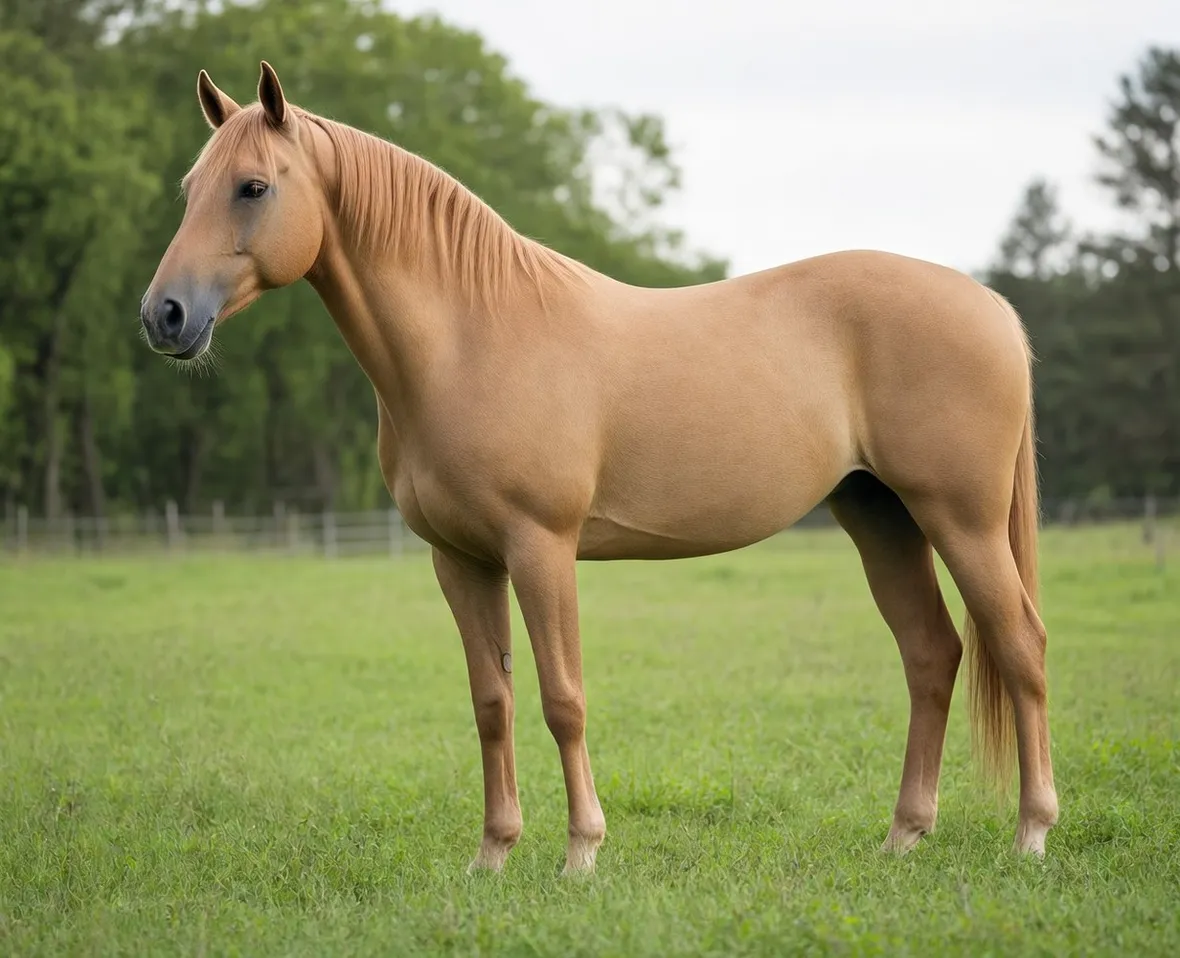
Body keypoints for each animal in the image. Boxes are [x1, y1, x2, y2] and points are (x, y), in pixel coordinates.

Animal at [140, 61, 1058, 875]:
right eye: (192, 188)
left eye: (253, 187)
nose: (164, 316)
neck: (470, 337)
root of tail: (992, 306)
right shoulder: (460, 560)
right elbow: (492, 701)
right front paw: (493, 854)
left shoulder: (540, 548)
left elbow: (562, 698)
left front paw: (581, 852)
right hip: (880, 516)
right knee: (932, 654)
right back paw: (904, 837)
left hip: (960, 518)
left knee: (1019, 645)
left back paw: (1031, 835)